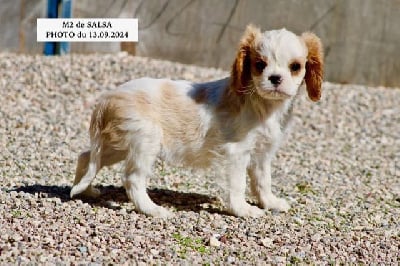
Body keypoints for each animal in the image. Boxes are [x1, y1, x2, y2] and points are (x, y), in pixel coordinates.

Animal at [70, 24, 324, 218]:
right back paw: (153, 210)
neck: (265, 106)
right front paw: (243, 210)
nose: (275, 78)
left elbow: (263, 181)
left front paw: (270, 203)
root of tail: (107, 98)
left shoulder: (262, 153)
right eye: (260, 65)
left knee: (86, 157)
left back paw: (85, 190)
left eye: (295, 67)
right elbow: (238, 184)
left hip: (120, 144)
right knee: (132, 179)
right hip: (144, 142)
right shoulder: (235, 153)